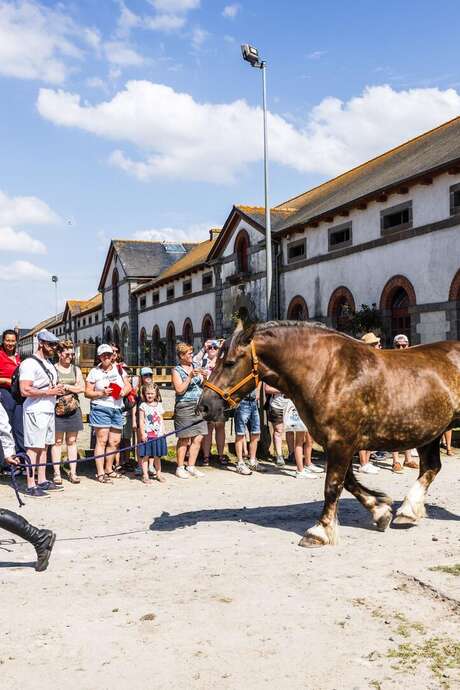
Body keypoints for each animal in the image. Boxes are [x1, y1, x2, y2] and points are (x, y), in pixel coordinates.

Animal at [197, 320, 460, 548]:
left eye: (230, 362)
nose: (205, 406)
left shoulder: (341, 442)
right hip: (429, 431)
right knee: (431, 468)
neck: (328, 371)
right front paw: (380, 511)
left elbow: (333, 485)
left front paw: (320, 532)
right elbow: (349, 482)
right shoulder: (336, 443)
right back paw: (407, 511)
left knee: (430, 468)